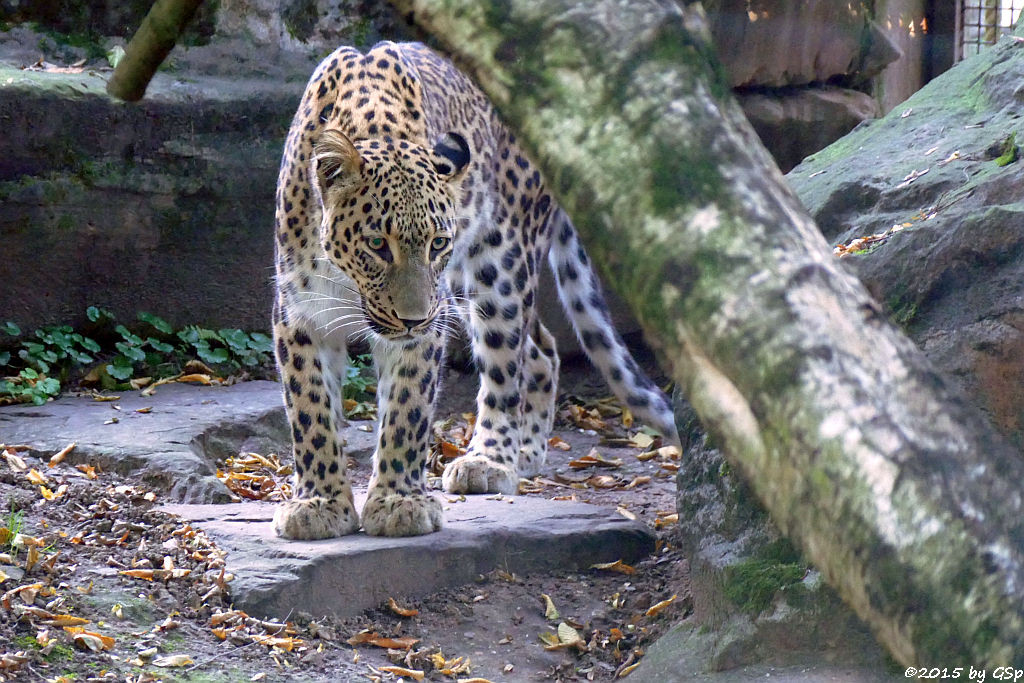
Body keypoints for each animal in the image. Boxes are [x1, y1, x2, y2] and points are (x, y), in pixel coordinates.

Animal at [270, 41, 679, 540]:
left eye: (437, 243)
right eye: (377, 244)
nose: (411, 318)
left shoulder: (429, 321)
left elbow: (406, 409)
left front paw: (399, 502)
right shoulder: (299, 314)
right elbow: (310, 410)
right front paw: (319, 503)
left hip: (495, 269)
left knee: (511, 359)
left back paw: (493, 459)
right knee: (541, 347)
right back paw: (526, 451)